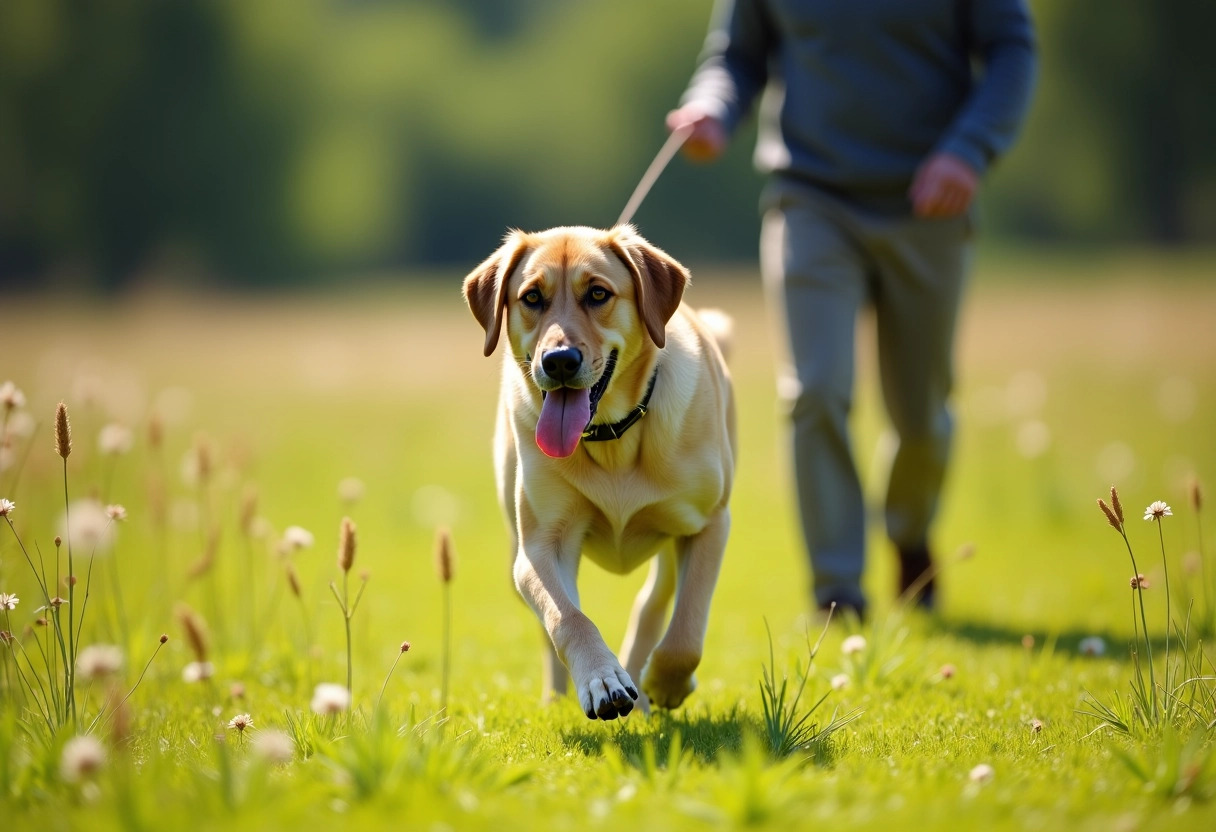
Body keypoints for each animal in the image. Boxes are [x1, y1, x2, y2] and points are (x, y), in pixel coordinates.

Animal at [462, 223, 729, 720]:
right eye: (532, 297)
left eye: (598, 293)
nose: (559, 360)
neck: (612, 439)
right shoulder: (540, 545)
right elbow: (568, 617)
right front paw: (602, 681)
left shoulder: (709, 523)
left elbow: (687, 628)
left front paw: (665, 683)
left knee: (654, 601)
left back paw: (644, 688)